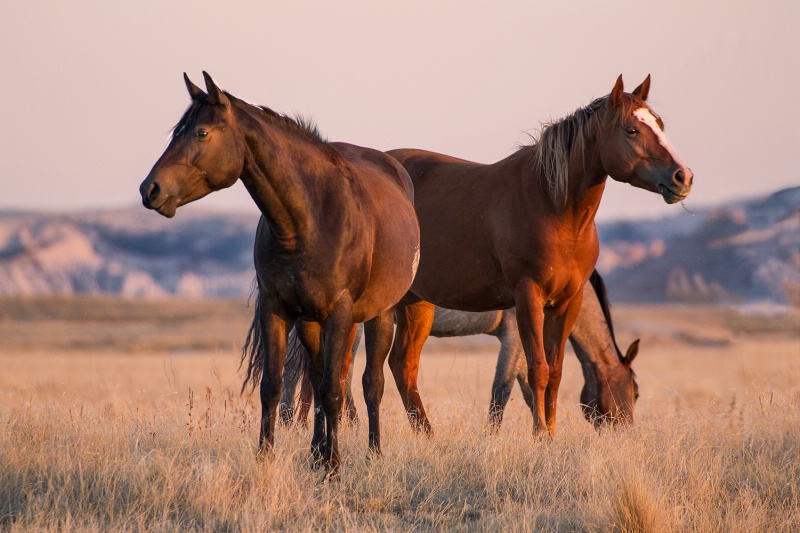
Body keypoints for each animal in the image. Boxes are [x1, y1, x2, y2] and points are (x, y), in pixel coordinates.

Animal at [140, 72, 422, 476]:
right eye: (177, 132)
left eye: (201, 133)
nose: (150, 189)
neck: (308, 219)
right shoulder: (275, 309)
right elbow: (274, 387)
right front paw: (267, 458)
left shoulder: (340, 313)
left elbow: (335, 390)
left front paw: (335, 468)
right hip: (310, 322)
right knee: (317, 377)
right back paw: (317, 452)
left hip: (378, 315)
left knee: (371, 383)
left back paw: (372, 453)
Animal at [280, 270, 636, 428]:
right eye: (635, 392)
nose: (625, 433)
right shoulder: (514, 338)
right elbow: (501, 392)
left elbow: (525, 390)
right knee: (336, 372)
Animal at [384, 78, 692, 436]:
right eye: (631, 130)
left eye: (660, 125)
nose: (683, 177)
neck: (553, 206)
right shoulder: (525, 306)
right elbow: (527, 378)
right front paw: (537, 435)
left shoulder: (565, 302)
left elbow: (552, 374)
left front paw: (550, 436)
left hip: (416, 303)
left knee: (403, 366)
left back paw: (428, 437)